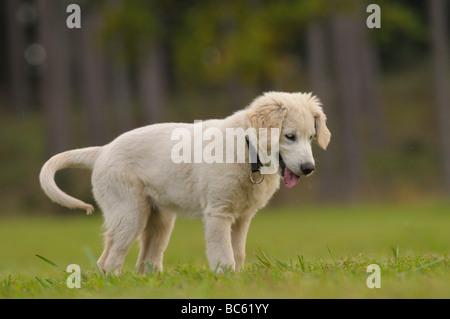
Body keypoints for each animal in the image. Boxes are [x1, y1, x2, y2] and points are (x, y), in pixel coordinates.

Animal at [40, 92, 328, 276]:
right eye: (289, 136)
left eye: (311, 137)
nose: (309, 169)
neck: (248, 148)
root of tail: (102, 150)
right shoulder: (218, 213)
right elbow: (224, 254)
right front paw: (226, 278)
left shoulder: (242, 217)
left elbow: (238, 252)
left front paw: (239, 277)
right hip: (130, 213)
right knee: (109, 260)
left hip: (159, 220)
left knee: (145, 260)